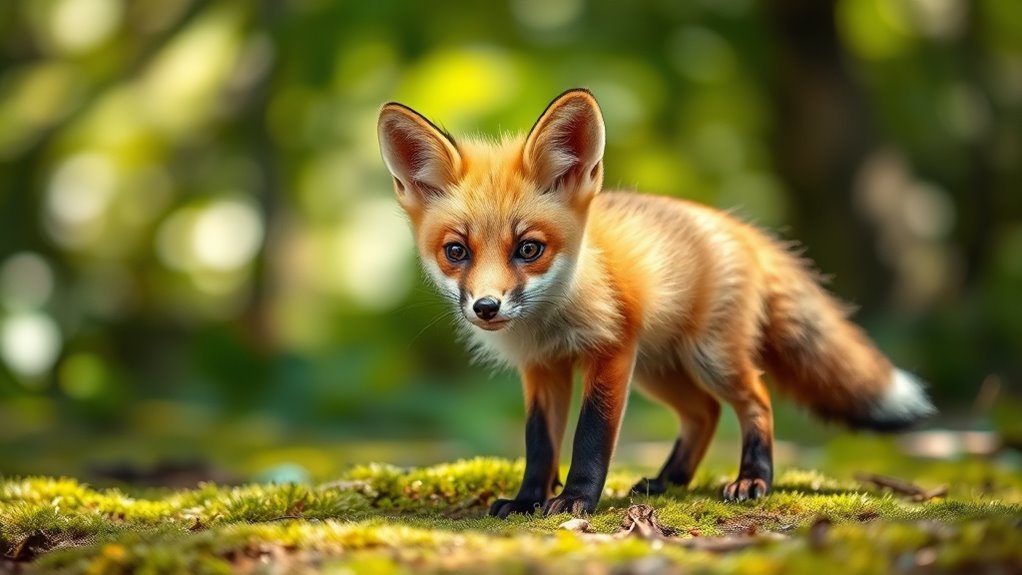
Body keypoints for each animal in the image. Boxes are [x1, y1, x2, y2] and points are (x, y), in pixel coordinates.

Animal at [377, 88, 935, 517]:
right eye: (456, 251)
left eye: (529, 249)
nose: (487, 308)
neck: (548, 324)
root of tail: (742, 228)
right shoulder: (542, 369)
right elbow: (539, 444)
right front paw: (528, 499)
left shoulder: (610, 352)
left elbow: (591, 438)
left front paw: (576, 500)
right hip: (658, 370)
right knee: (704, 413)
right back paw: (669, 480)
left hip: (706, 359)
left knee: (756, 399)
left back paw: (753, 479)